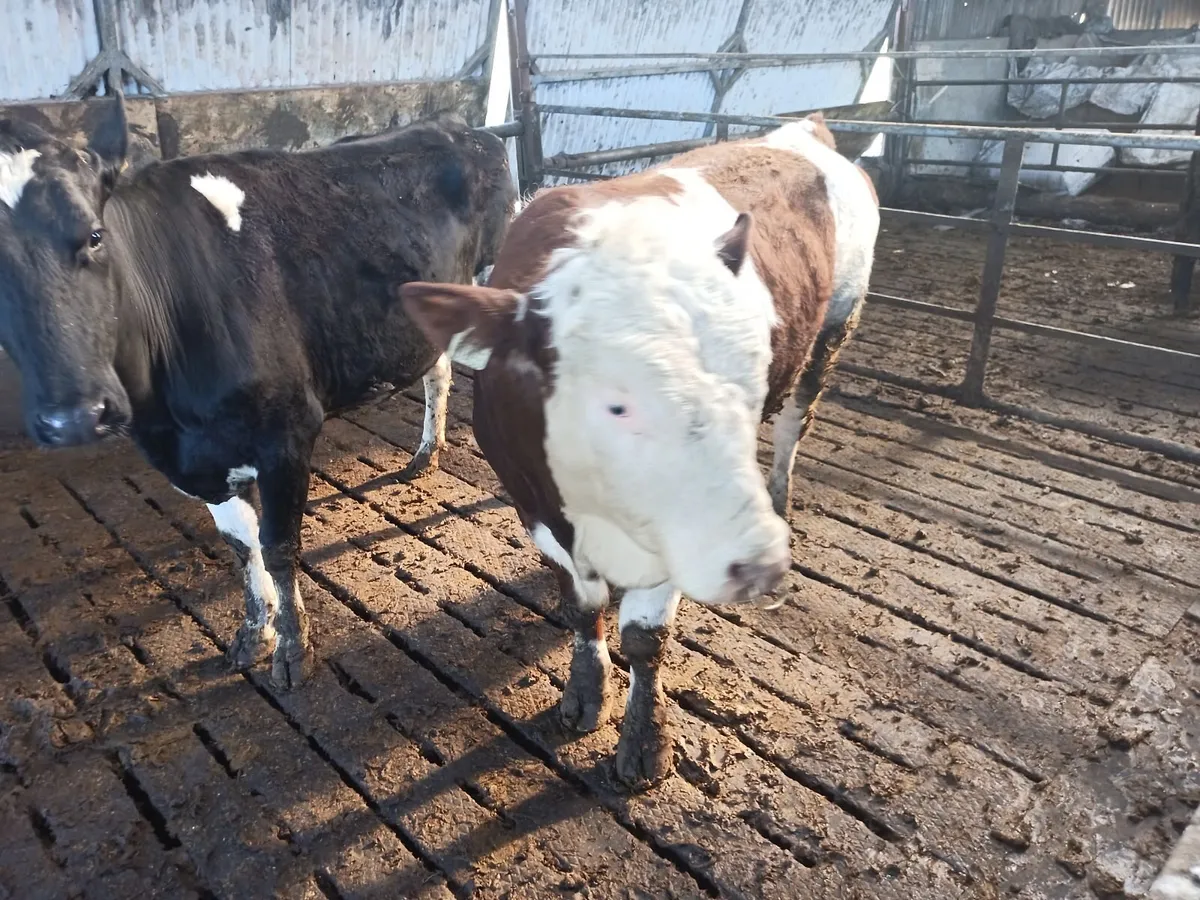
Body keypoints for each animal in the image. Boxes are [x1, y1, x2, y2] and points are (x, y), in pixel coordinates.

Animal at [0, 94, 516, 689]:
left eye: (93, 235)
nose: (75, 417)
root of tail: (466, 128)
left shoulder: (287, 432)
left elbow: (277, 546)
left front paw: (293, 649)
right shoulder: (195, 457)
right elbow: (240, 545)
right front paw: (254, 631)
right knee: (439, 371)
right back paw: (425, 455)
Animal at [399, 113, 880, 789]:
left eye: (750, 372)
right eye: (617, 404)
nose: (757, 566)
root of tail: (803, 131)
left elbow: (646, 639)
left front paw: (644, 742)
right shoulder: (533, 503)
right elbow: (581, 606)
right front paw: (584, 694)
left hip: (839, 321)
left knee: (794, 424)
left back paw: (782, 496)